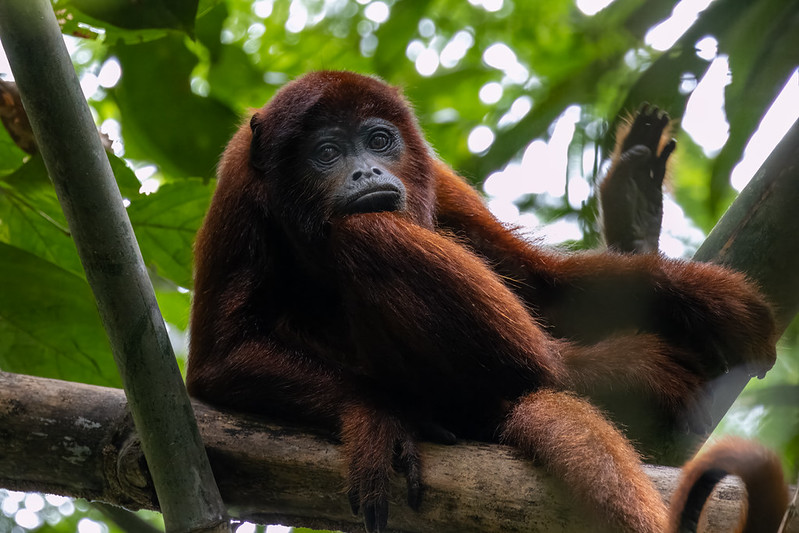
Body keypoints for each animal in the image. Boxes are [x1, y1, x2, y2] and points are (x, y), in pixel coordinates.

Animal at [186, 71, 779, 532]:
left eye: (379, 141)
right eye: (327, 153)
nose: (367, 171)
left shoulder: (432, 173)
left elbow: (538, 281)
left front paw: (705, 297)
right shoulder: (237, 184)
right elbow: (219, 362)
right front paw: (375, 418)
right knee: (367, 233)